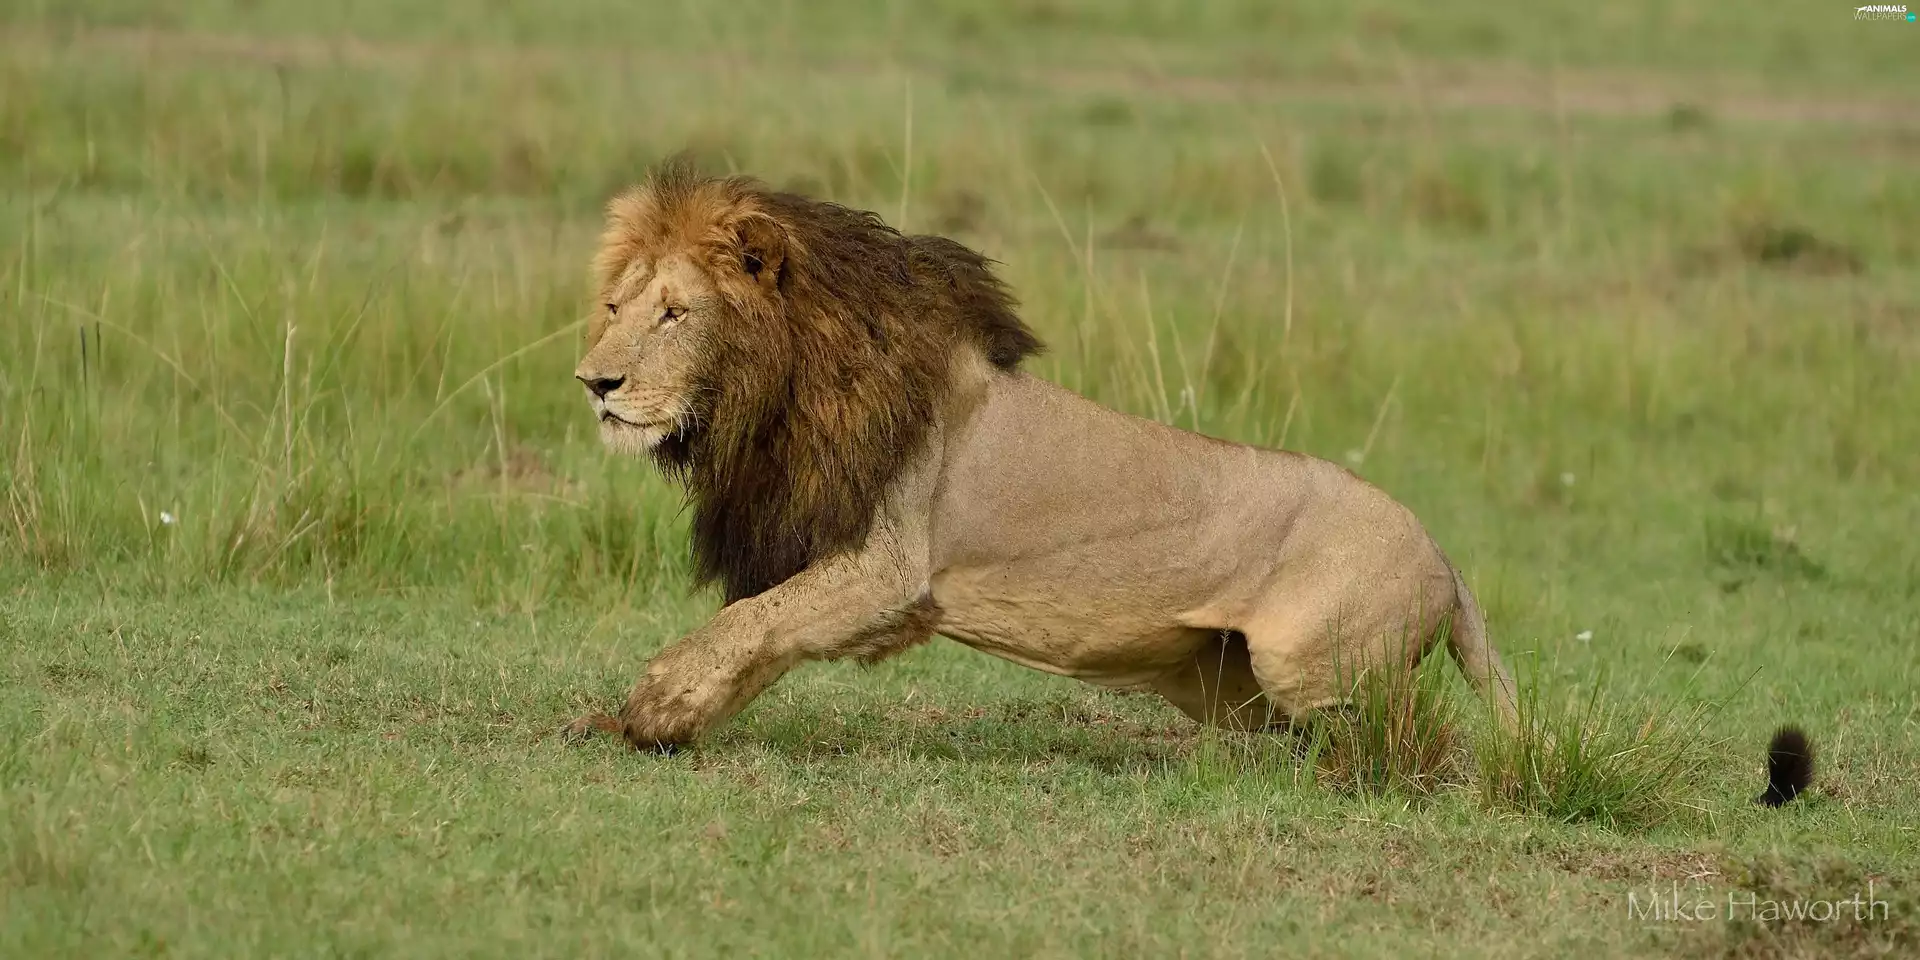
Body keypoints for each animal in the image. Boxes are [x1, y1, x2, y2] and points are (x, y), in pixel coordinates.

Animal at [568, 163, 1519, 751]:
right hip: (1221, 678)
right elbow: (758, 633)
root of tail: (1443, 554)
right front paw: (654, 722)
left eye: (675, 314)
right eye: (614, 305)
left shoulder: (889, 568)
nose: (595, 382)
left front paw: (654, 705)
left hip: (1305, 661)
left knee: (1411, 738)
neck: (773, 397)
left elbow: (750, 621)